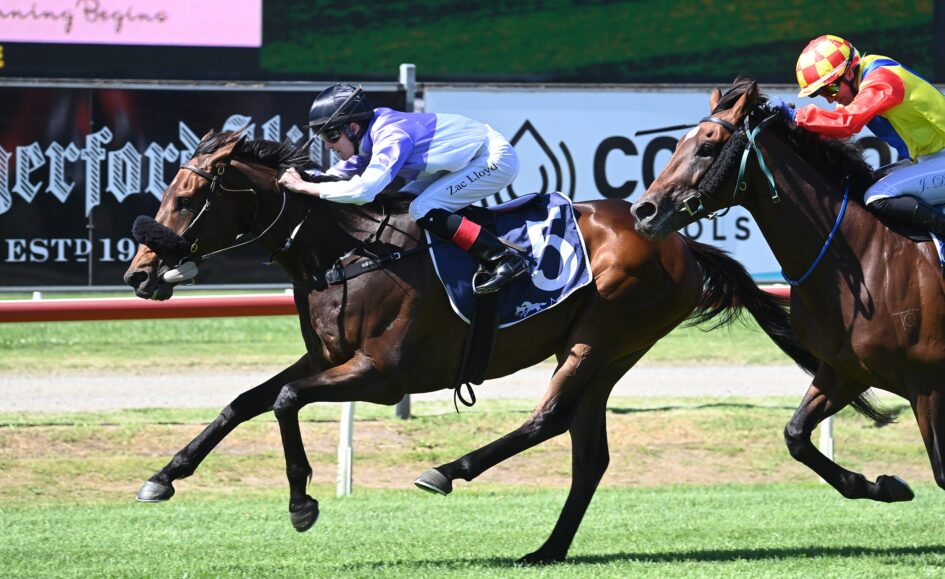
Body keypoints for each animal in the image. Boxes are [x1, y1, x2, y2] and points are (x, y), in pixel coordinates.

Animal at [124, 129, 816, 564]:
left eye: (188, 197)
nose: (139, 274)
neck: (346, 251)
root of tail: (679, 240)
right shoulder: (330, 358)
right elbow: (243, 401)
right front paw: (164, 476)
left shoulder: (382, 375)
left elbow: (286, 400)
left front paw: (302, 503)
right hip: (608, 355)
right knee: (587, 453)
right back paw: (548, 550)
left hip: (602, 337)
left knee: (548, 419)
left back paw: (448, 470)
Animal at [630, 75, 941, 504]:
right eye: (675, 145)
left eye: (707, 147)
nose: (644, 211)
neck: (866, 255)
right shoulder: (845, 370)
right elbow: (795, 435)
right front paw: (883, 485)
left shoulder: (927, 385)